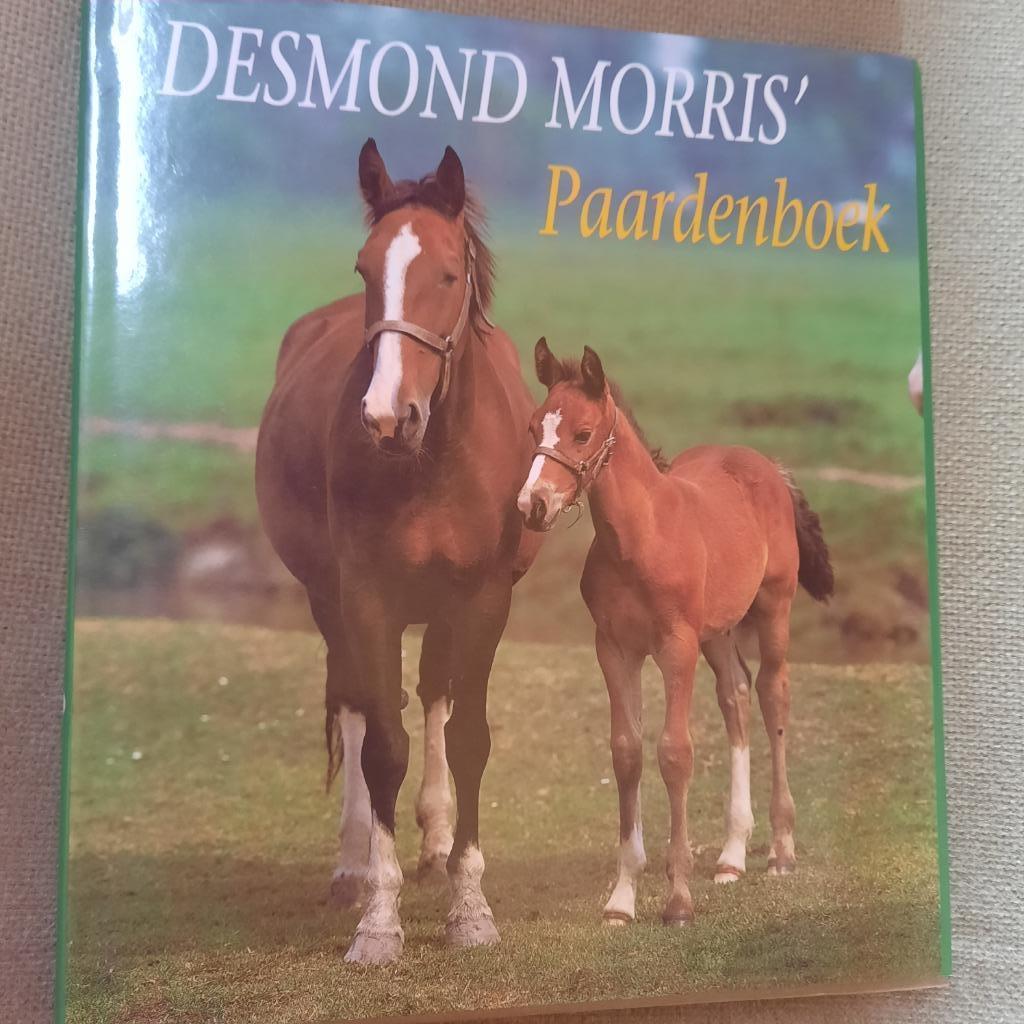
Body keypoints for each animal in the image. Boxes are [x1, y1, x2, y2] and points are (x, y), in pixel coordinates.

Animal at [255, 139, 542, 964]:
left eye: (447, 273)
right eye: (364, 268)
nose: (388, 417)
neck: (432, 460)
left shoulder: (482, 598)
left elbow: (467, 737)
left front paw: (470, 907)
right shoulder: (368, 599)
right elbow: (382, 745)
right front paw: (379, 922)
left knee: (438, 698)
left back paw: (437, 845)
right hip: (329, 603)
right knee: (356, 707)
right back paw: (355, 864)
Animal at [517, 339, 834, 926]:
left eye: (582, 433)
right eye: (532, 428)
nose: (533, 505)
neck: (640, 539)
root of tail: (768, 467)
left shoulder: (675, 647)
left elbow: (674, 753)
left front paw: (678, 900)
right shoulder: (614, 648)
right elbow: (626, 753)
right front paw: (621, 900)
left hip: (772, 608)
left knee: (773, 695)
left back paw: (780, 851)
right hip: (718, 631)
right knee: (735, 695)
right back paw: (731, 857)